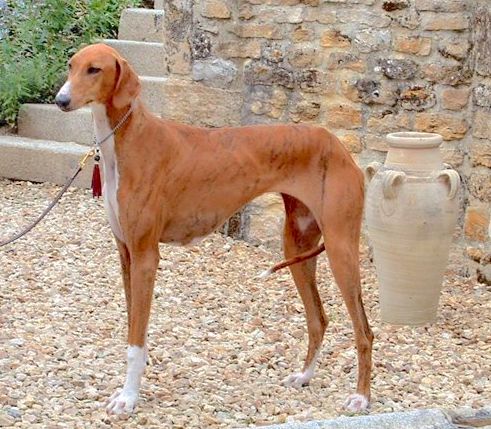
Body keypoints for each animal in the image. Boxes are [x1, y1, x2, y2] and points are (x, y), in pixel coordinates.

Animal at [54, 44, 372, 414]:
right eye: (71, 66)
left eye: (95, 69)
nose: (60, 100)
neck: (128, 138)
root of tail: (340, 146)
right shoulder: (126, 254)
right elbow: (134, 332)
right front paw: (130, 388)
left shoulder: (146, 256)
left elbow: (136, 340)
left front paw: (128, 398)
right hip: (298, 245)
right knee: (318, 319)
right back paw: (304, 376)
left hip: (340, 248)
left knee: (364, 330)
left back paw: (362, 397)